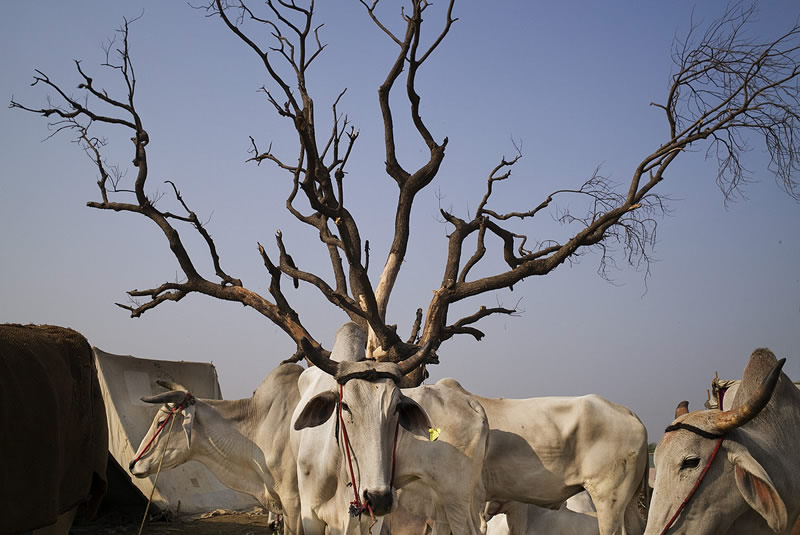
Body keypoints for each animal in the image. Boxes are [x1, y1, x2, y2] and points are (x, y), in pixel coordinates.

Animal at [290, 322, 484, 535]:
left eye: (397, 407)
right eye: (345, 406)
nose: (378, 498)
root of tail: (471, 402)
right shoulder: (311, 515)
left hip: (456, 497)